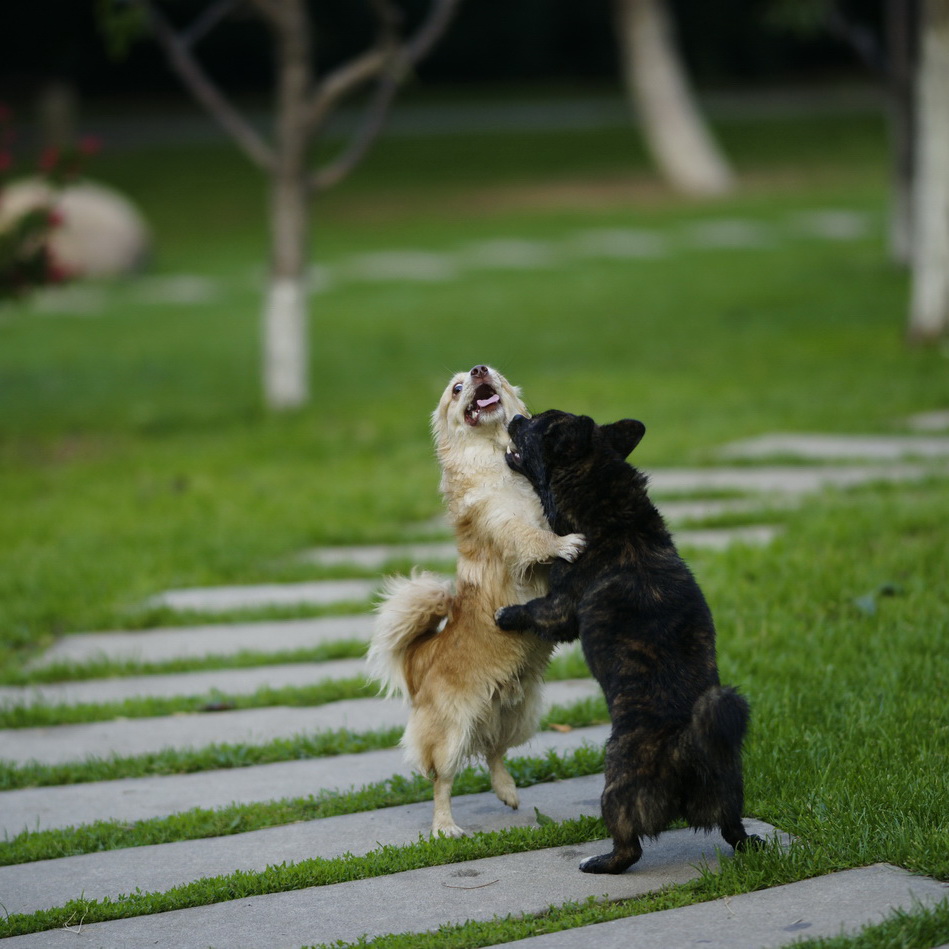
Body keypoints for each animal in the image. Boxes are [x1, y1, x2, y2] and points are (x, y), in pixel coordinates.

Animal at [368, 366, 584, 832]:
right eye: (456, 389)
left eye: (495, 375)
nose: (479, 371)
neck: (499, 458)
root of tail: (420, 657)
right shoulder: (506, 526)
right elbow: (535, 538)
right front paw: (564, 544)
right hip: (451, 733)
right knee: (443, 779)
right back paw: (444, 827)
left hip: (520, 715)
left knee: (494, 752)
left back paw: (508, 791)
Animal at [496, 412, 764, 872]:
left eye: (536, 426)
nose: (515, 417)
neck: (613, 513)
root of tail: (686, 746)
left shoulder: (560, 607)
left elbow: (533, 609)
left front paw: (506, 615)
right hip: (729, 787)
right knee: (735, 830)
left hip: (617, 783)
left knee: (629, 847)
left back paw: (598, 862)